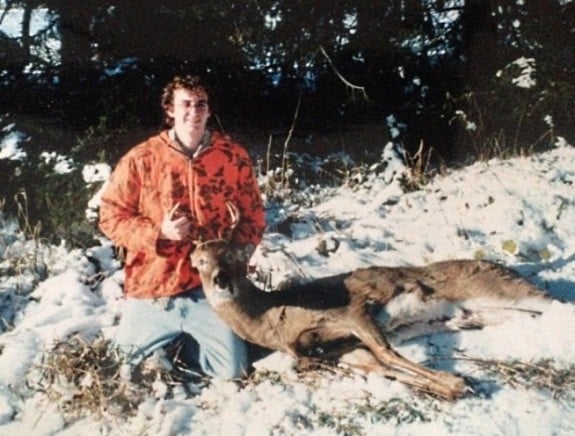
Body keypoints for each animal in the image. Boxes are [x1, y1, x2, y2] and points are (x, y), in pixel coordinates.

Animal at [191, 203, 552, 400]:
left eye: (232, 255)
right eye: (200, 262)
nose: (221, 281)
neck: (272, 319)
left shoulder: (354, 310)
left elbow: (387, 352)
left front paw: (456, 382)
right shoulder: (345, 351)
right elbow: (380, 366)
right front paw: (451, 387)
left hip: (497, 288)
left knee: (550, 302)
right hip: (492, 312)